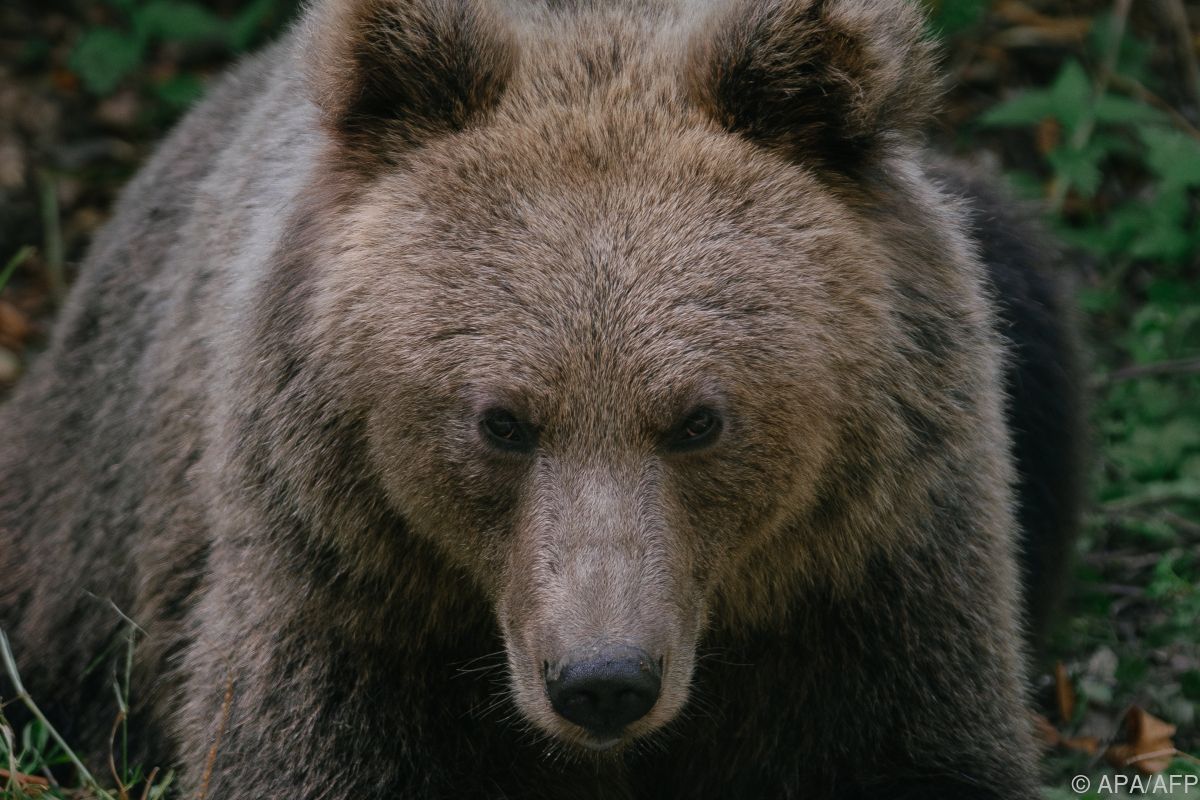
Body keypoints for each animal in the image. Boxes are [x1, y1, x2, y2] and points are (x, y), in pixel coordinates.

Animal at [0, 0, 1083, 797]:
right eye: (502, 421)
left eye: (700, 418)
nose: (602, 681)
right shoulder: (347, 598)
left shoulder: (867, 580)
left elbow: (909, 749)